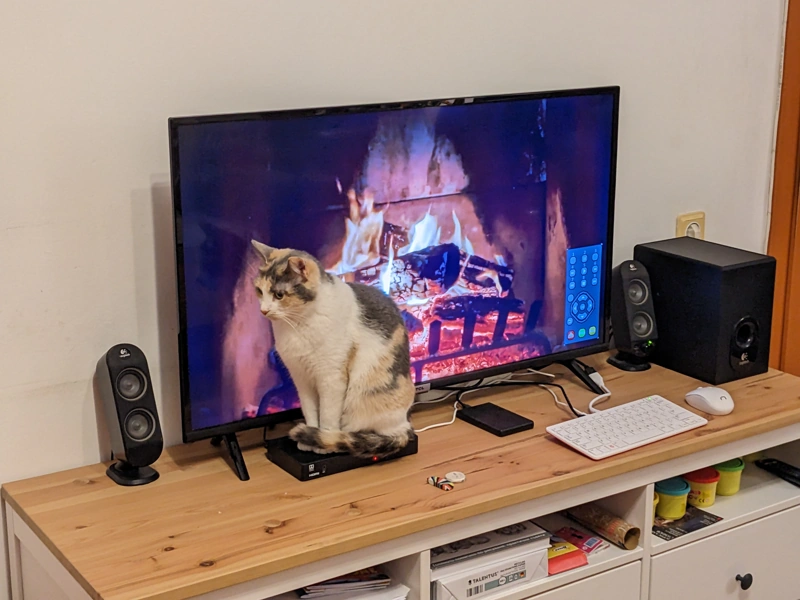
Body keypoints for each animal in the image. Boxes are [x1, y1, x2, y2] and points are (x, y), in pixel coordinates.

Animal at [250, 241, 416, 458]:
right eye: (259, 291)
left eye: (279, 295)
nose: (263, 310)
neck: (298, 324)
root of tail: (405, 426)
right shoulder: (301, 378)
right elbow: (310, 411)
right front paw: (309, 438)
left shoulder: (331, 378)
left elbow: (328, 415)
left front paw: (323, 441)